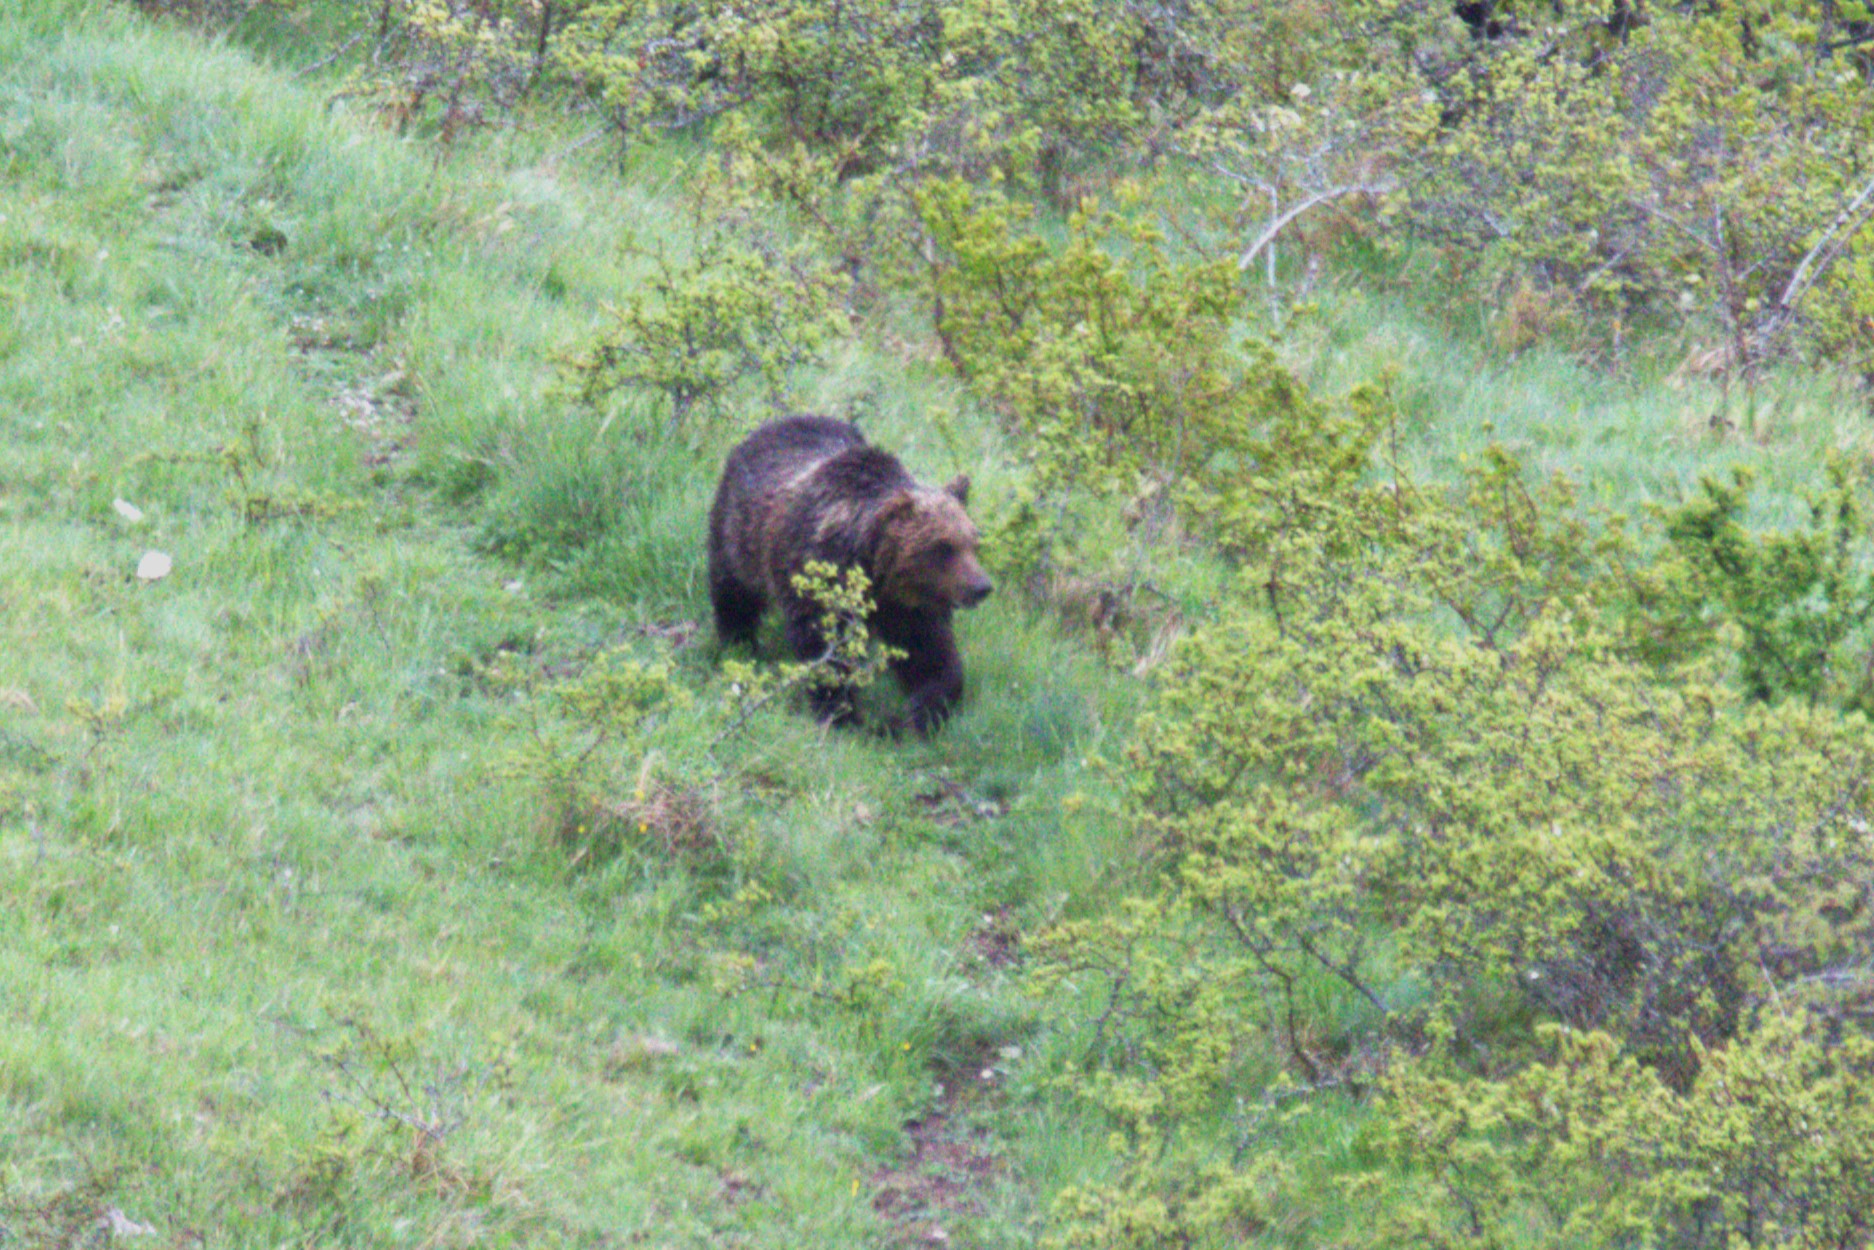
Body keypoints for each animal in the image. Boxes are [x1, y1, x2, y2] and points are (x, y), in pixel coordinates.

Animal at [707, 414, 993, 733]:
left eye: (973, 542)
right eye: (942, 547)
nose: (982, 586)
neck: (876, 575)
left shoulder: (909, 607)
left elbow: (929, 652)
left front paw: (923, 711)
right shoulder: (819, 576)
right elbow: (826, 650)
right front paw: (841, 713)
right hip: (739, 532)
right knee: (733, 591)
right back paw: (740, 643)